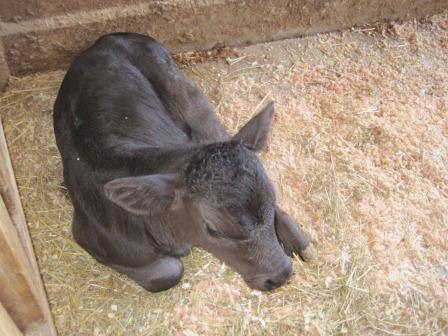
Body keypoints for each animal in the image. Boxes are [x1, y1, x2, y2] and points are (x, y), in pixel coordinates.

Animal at [54, 32, 316, 292]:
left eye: (272, 197)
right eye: (215, 230)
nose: (281, 275)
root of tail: (103, 40)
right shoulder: (86, 236)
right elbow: (169, 272)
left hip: (187, 96)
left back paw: (301, 242)